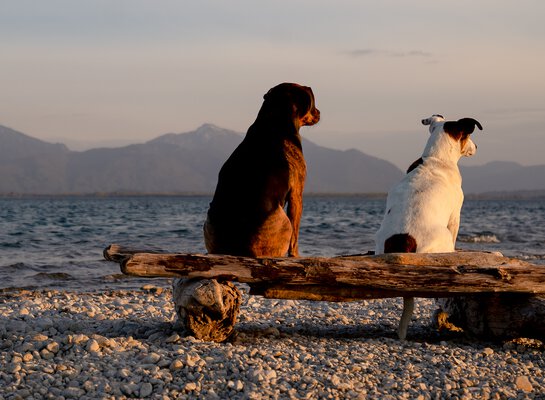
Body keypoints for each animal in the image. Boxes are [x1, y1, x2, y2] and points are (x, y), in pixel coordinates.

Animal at [204, 82, 318, 256]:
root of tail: (238, 247)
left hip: (207, 222)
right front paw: (296, 255)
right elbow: (295, 236)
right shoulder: (297, 193)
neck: (274, 119)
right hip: (284, 221)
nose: (319, 113)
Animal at [374, 114, 480, 340]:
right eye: (468, 136)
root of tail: (404, 245)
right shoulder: (455, 215)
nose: (477, 146)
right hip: (444, 236)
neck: (436, 158)